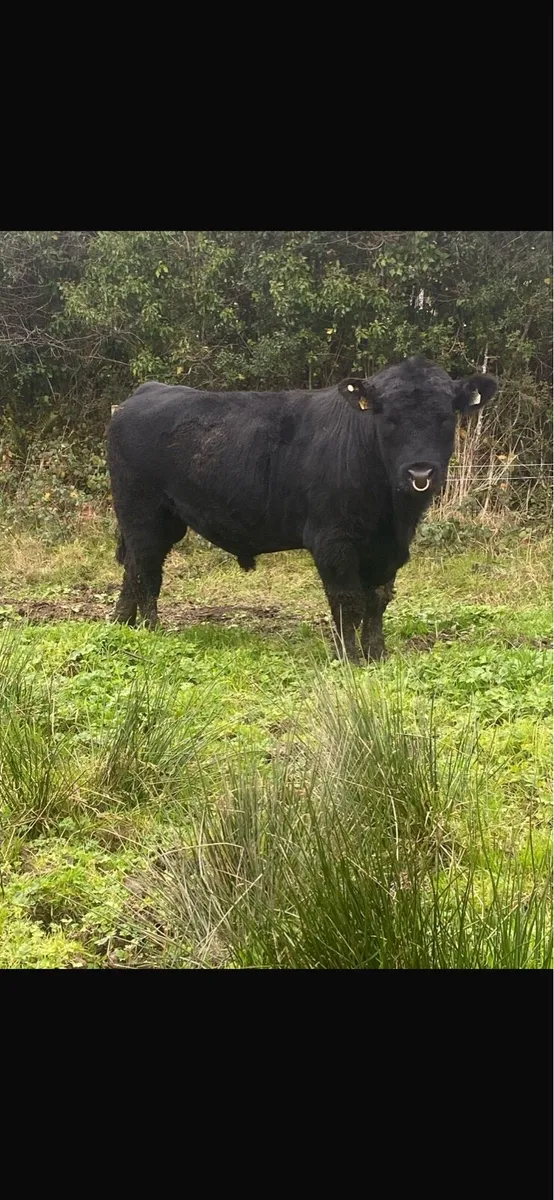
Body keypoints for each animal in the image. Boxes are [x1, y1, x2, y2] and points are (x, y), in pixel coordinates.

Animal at [107, 357, 498, 661]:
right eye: (389, 417)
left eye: (445, 416)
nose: (420, 473)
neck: (391, 514)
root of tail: (144, 392)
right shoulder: (332, 540)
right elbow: (348, 601)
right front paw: (349, 657)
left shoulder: (390, 547)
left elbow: (377, 600)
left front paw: (377, 654)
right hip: (142, 511)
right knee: (146, 571)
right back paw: (151, 629)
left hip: (161, 519)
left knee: (135, 568)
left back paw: (121, 623)